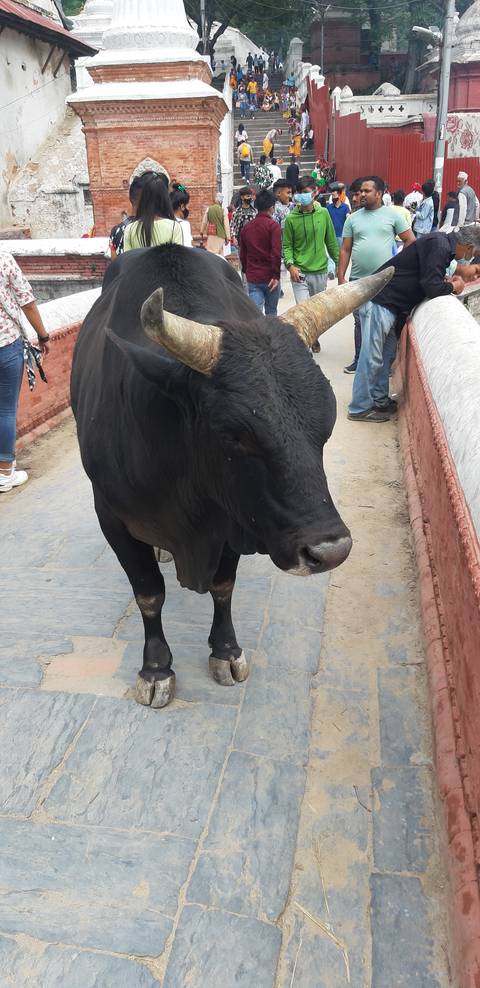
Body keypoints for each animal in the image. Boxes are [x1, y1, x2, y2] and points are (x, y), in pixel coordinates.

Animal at [71, 245, 392, 708]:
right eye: (235, 434)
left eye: (327, 421)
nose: (330, 550)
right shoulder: (112, 519)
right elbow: (149, 594)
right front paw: (156, 669)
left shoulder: (238, 522)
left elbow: (223, 587)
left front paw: (225, 651)